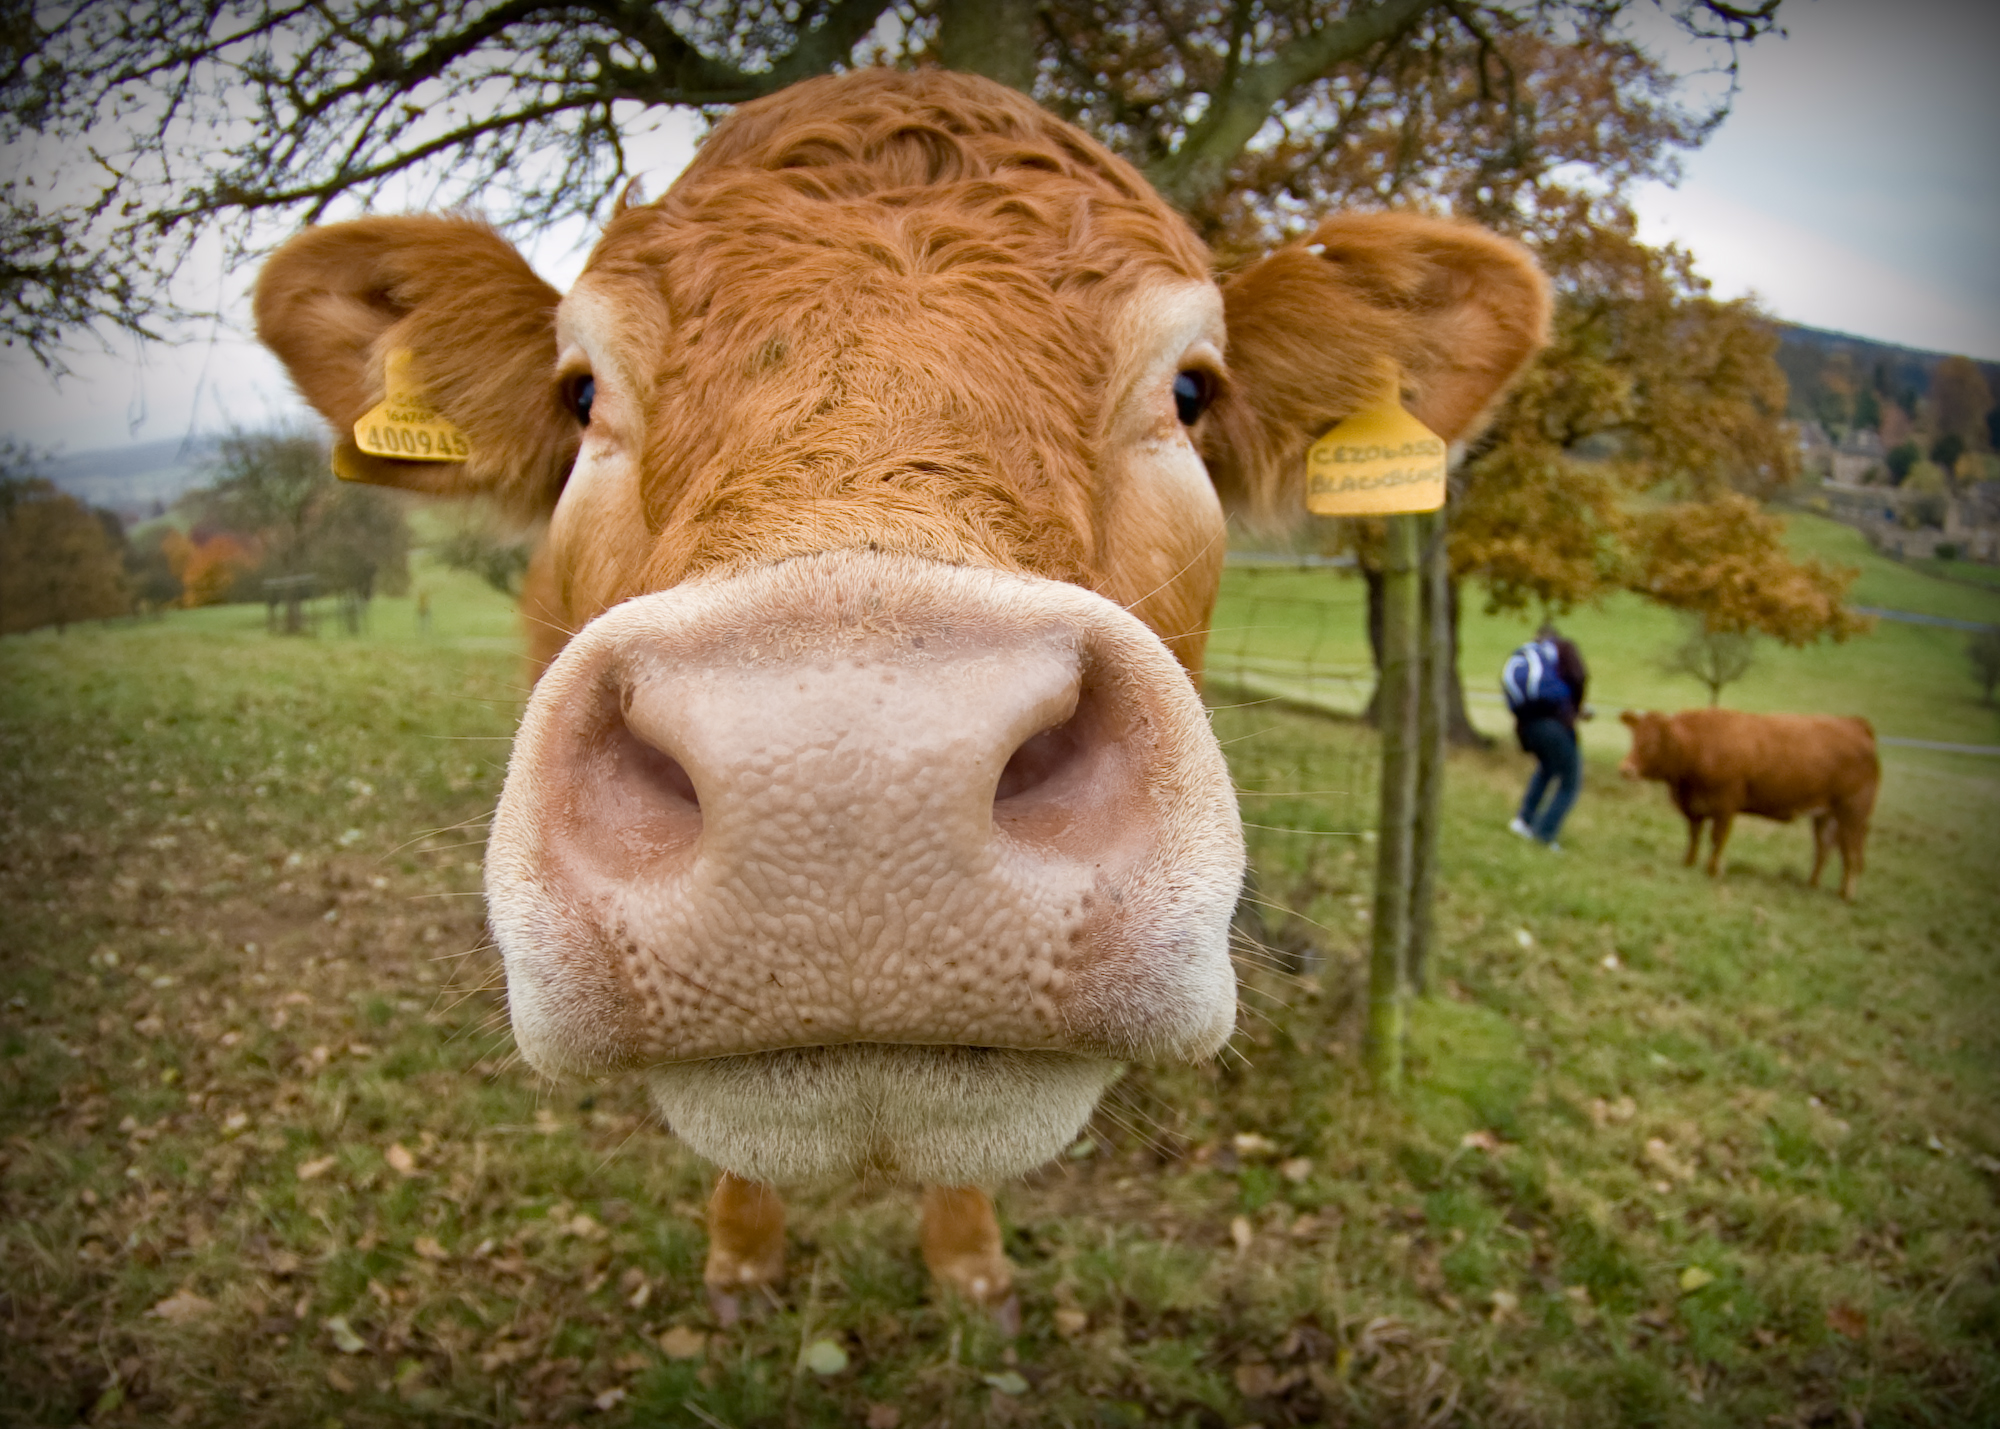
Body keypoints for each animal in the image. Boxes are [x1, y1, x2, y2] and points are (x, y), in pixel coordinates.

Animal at [1616, 708, 1880, 896]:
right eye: (1634, 738)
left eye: (1651, 744)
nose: (1626, 769)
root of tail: (1855, 723)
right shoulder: (1695, 807)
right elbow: (1694, 836)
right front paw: (1688, 863)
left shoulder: (1725, 804)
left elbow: (1717, 838)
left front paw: (1713, 870)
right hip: (1825, 814)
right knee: (1825, 847)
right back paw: (1812, 885)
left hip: (1853, 811)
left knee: (1852, 851)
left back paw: (1846, 894)